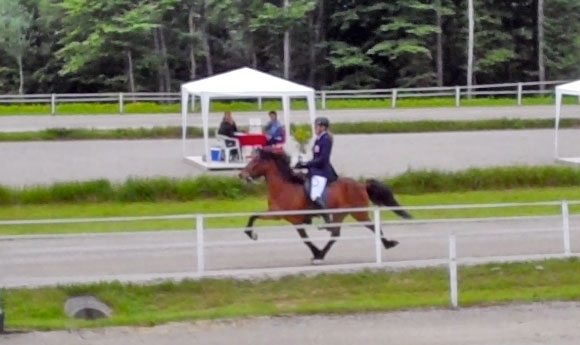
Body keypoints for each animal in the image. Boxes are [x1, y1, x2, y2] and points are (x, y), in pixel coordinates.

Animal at [237, 148, 412, 264]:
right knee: (346, 231)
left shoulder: (291, 218)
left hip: (355, 213)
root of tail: (361, 185)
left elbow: (305, 239)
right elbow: (254, 215)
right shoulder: (276, 214)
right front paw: (250, 233)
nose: (241, 175)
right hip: (347, 213)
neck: (283, 187)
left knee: (356, 229)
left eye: (255, 161)